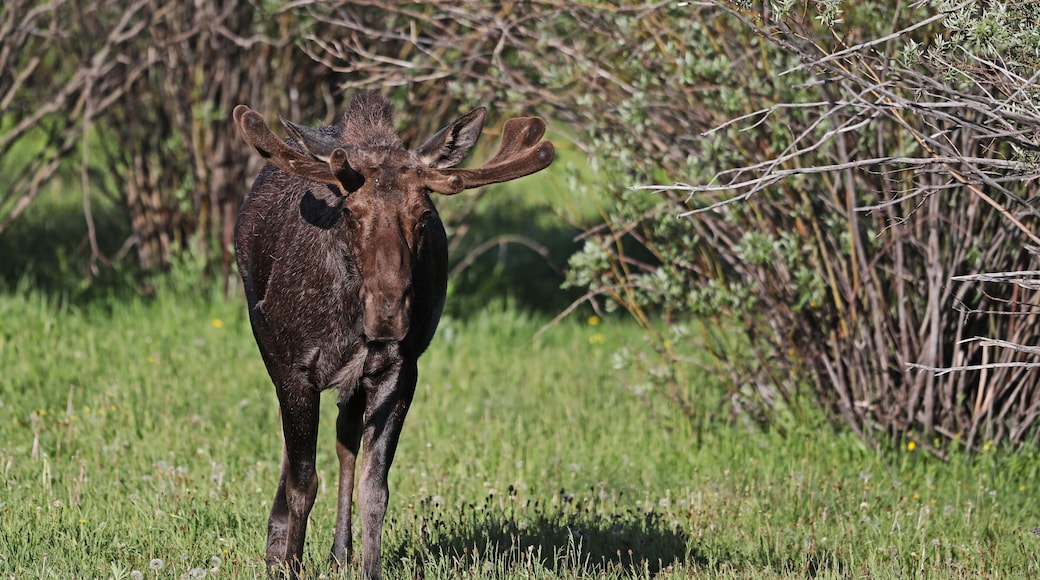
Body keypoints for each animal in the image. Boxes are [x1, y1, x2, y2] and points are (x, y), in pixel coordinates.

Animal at [232, 92, 554, 579]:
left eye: (422, 215)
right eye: (349, 212)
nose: (388, 312)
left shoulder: (399, 370)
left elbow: (374, 488)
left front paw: (367, 567)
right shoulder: (294, 370)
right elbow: (303, 483)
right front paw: (288, 561)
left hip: (355, 382)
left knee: (344, 442)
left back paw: (338, 553)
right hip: (272, 351)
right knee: (297, 457)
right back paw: (278, 549)